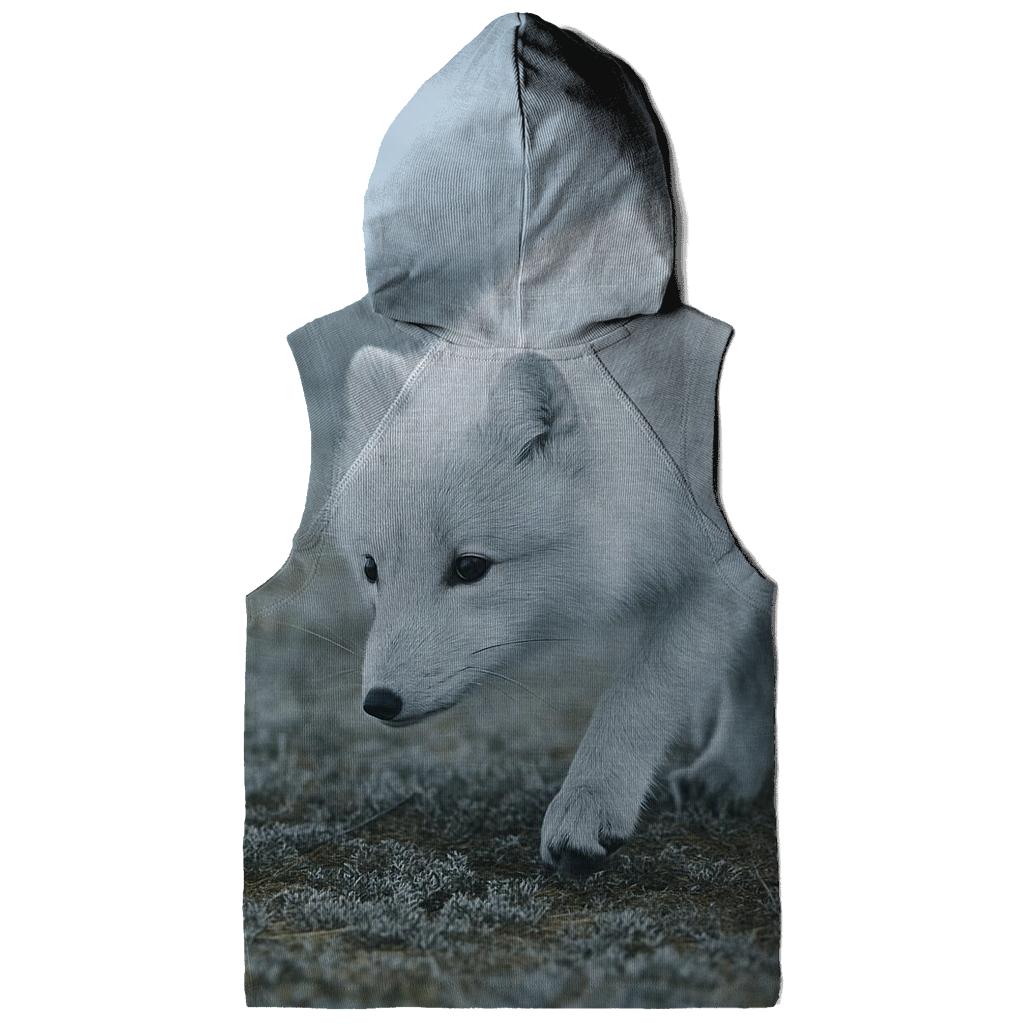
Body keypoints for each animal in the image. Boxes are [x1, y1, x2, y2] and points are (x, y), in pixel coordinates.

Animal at [332, 342, 776, 879]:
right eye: (370, 569)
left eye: (469, 567)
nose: (380, 702)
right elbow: (749, 669)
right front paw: (734, 770)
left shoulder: (720, 566)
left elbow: (641, 691)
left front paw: (588, 804)